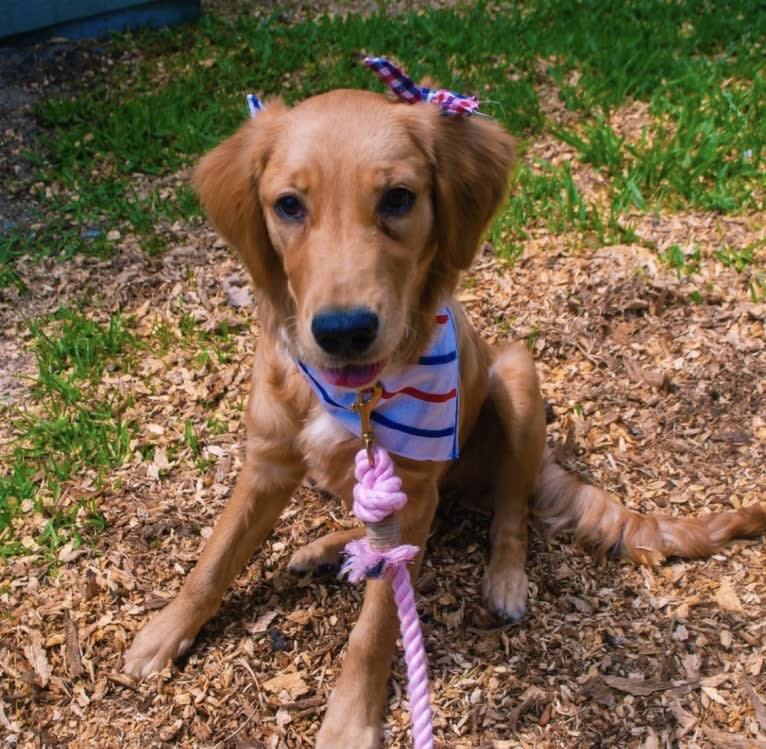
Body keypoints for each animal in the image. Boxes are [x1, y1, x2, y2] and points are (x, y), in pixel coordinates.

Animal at [126, 86, 766, 744]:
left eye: (398, 198)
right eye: (288, 206)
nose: (344, 332)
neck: (357, 397)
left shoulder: (409, 490)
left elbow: (378, 625)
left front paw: (350, 721)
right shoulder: (268, 463)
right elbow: (214, 557)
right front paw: (162, 634)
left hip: (516, 377)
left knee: (510, 510)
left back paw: (504, 578)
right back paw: (328, 546)